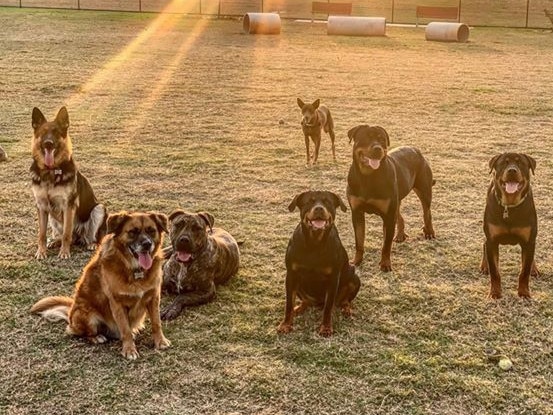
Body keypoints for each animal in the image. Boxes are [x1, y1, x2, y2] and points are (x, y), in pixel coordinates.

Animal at [478, 153, 540, 300]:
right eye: (504, 163)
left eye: (521, 163)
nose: (512, 170)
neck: (510, 207)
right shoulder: (492, 241)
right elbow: (495, 271)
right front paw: (495, 293)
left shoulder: (528, 241)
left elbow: (524, 271)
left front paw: (524, 292)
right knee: (484, 243)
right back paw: (484, 265)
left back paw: (534, 268)